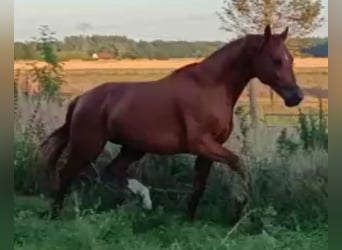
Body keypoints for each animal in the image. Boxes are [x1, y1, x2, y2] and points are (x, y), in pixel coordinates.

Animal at [41, 25, 304, 221]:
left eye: (290, 59)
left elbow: (199, 185)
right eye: (276, 60)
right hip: (89, 146)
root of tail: (82, 99)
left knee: (112, 171)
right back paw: (56, 214)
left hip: (133, 148)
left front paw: (189, 218)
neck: (210, 86)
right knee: (67, 173)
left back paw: (143, 200)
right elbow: (240, 165)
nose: (296, 97)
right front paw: (240, 206)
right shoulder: (202, 144)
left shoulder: (208, 150)